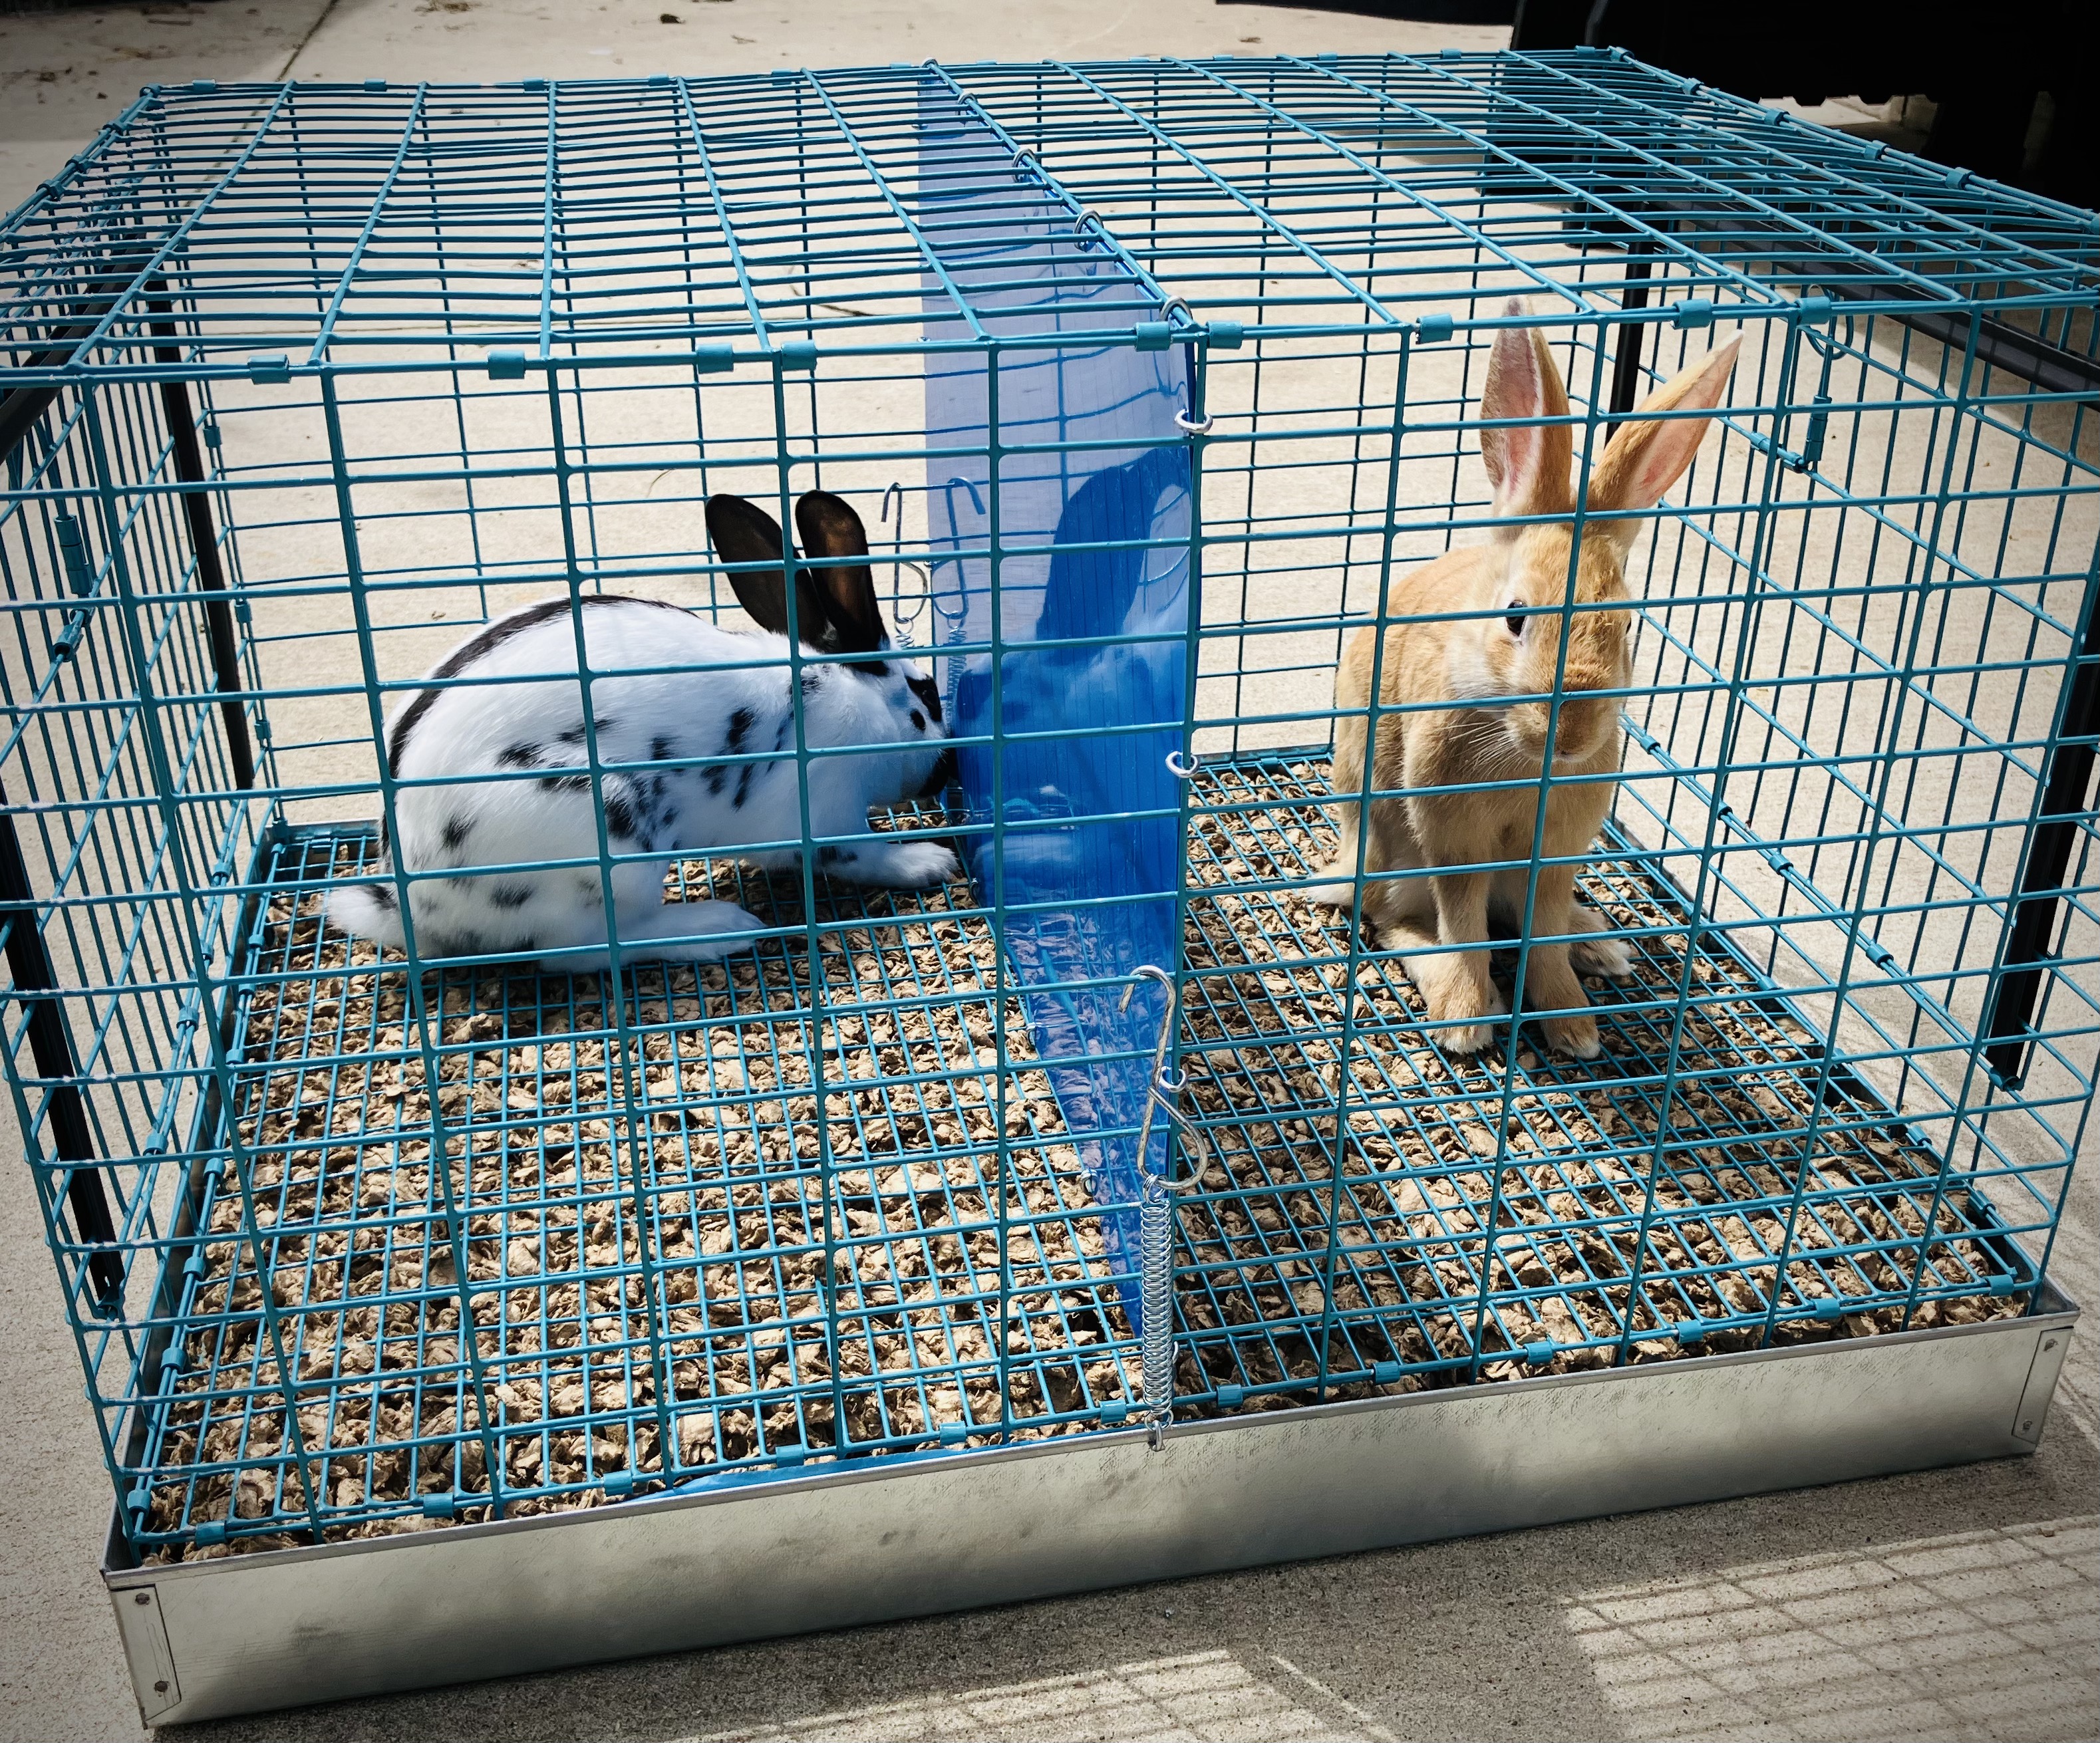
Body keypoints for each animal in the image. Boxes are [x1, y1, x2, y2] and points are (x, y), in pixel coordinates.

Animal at [326, 489, 955, 971]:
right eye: (926, 694)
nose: (948, 768)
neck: (853, 695)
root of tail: (416, 903)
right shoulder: (826, 815)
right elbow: (860, 855)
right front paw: (927, 862)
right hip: (609, 841)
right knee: (584, 951)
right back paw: (717, 927)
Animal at [1307, 300, 1742, 1058]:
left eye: (1628, 626)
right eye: (1515, 618)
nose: (1571, 735)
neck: (1523, 753)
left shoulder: (1557, 847)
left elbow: (1540, 933)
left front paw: (1573, 1026)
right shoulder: (1452, 836)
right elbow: (1465, 927)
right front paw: (1465, 1019)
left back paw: (1601, 944)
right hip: (1389, 847)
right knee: (1392, 920)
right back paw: (1468, 1001)